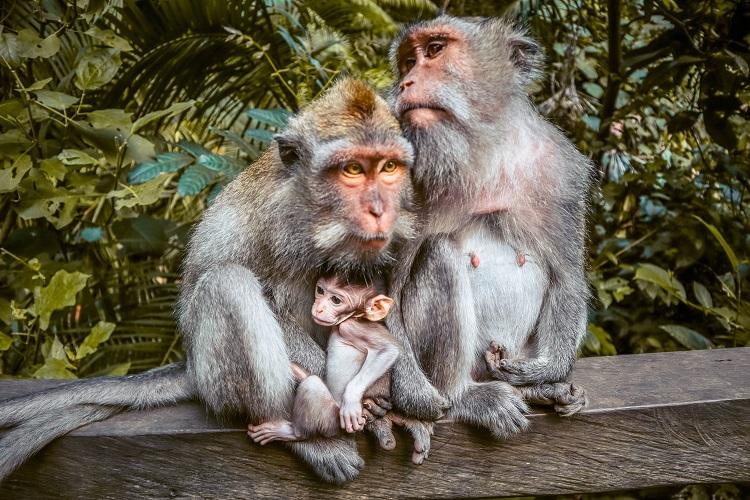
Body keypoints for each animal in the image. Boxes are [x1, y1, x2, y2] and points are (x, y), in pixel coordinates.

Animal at [0, 78, 418, 484]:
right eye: (352, 170)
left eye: (388, 167)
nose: (379, 209)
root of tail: (192, 364)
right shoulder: (280, 224)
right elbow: (273, 302)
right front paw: (362, 402)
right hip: (215, 375)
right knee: (227, 282)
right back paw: (300, 436)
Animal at [381, 16, 591, 437]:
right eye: (409, 60)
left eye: (434, 50)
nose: (408, 81)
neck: (479, 154)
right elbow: (383, 291)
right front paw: (414, 396)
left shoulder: (561, 169)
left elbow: (567, 278)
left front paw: (545, 372)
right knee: (440, 253)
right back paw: (465, 396)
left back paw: (541, 390)